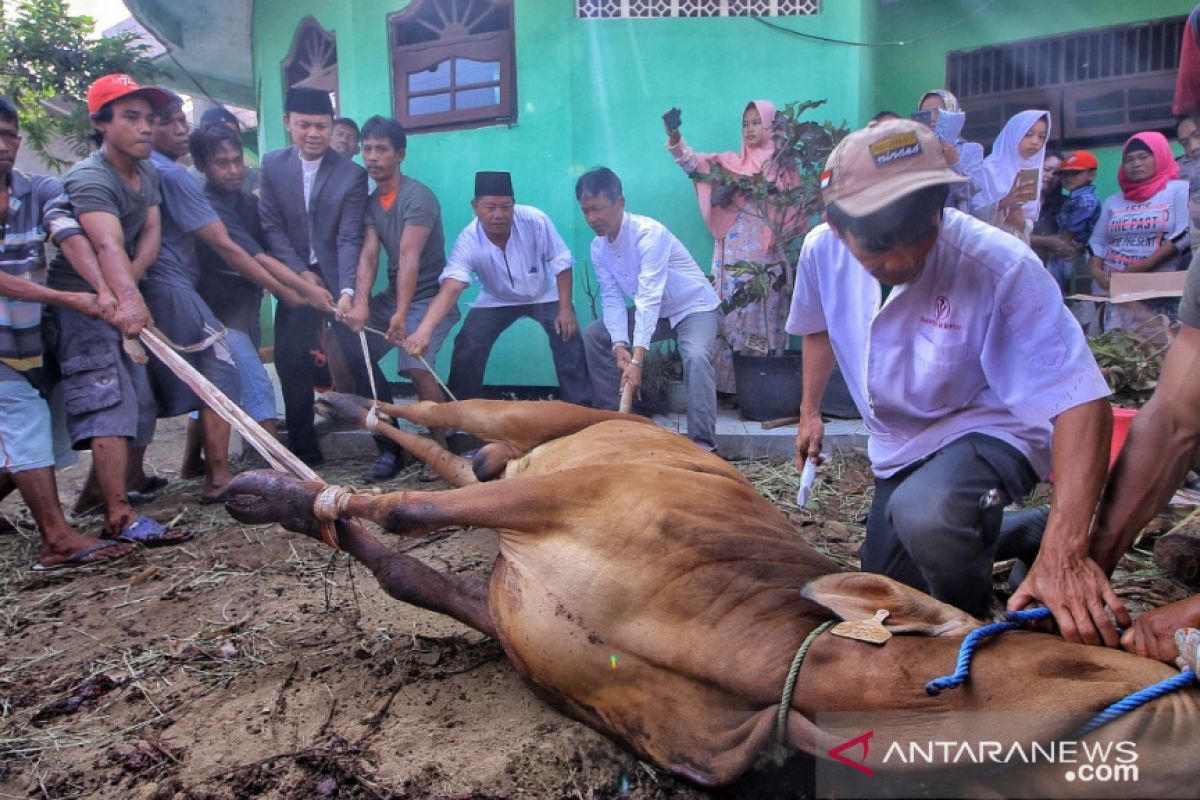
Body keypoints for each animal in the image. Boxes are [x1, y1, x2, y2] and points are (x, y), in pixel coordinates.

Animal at [226, 398, 1200, 791]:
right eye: (1087, 641)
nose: (1165, 647)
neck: (744, 652)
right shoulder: (570, 498)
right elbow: (404, 515)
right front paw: (276, 494)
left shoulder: (506, 612)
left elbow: (401, 564)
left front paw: (292, 501)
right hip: (544, 424)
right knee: (447, 416)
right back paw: (344, 400)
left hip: (529, 456)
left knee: (456, 453)